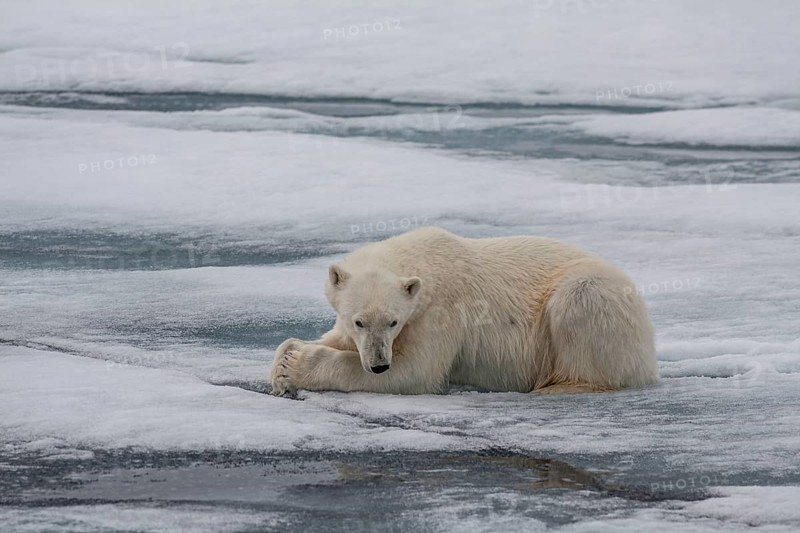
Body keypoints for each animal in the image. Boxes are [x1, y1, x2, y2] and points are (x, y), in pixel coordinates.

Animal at [270, 226, 657, 396]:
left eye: (392, 321)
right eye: (359, 321)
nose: (379, 364)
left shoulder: (440, 312)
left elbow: (416, 371)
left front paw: (295, 367)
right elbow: (337, 339)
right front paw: (284, 357)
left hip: (592, 295)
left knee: (580, 300)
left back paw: (556, 385)